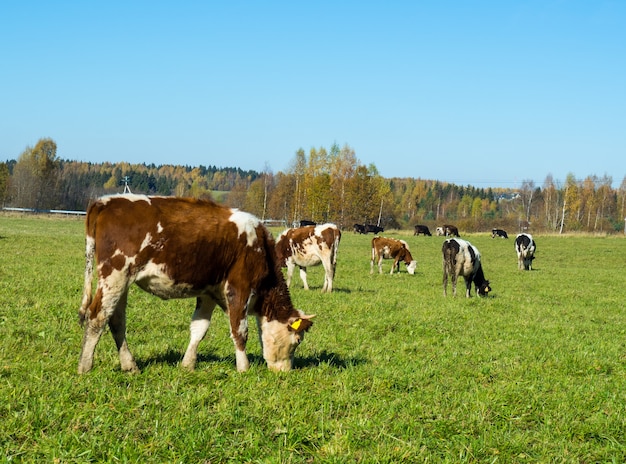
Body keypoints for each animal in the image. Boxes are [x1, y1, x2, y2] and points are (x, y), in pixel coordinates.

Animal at [77, 193, 312, 374]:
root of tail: (106, 201)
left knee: (116, 320)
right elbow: (240, 330)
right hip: (114, 275)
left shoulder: (209, 292)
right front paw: (243, 368)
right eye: (297, 341)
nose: (287, 371)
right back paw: (85, 366)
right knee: (97, 317)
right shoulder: (239, 287)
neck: (260, 246)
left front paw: (187, 364)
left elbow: (199, 328)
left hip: (122, 282)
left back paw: (129, 365)